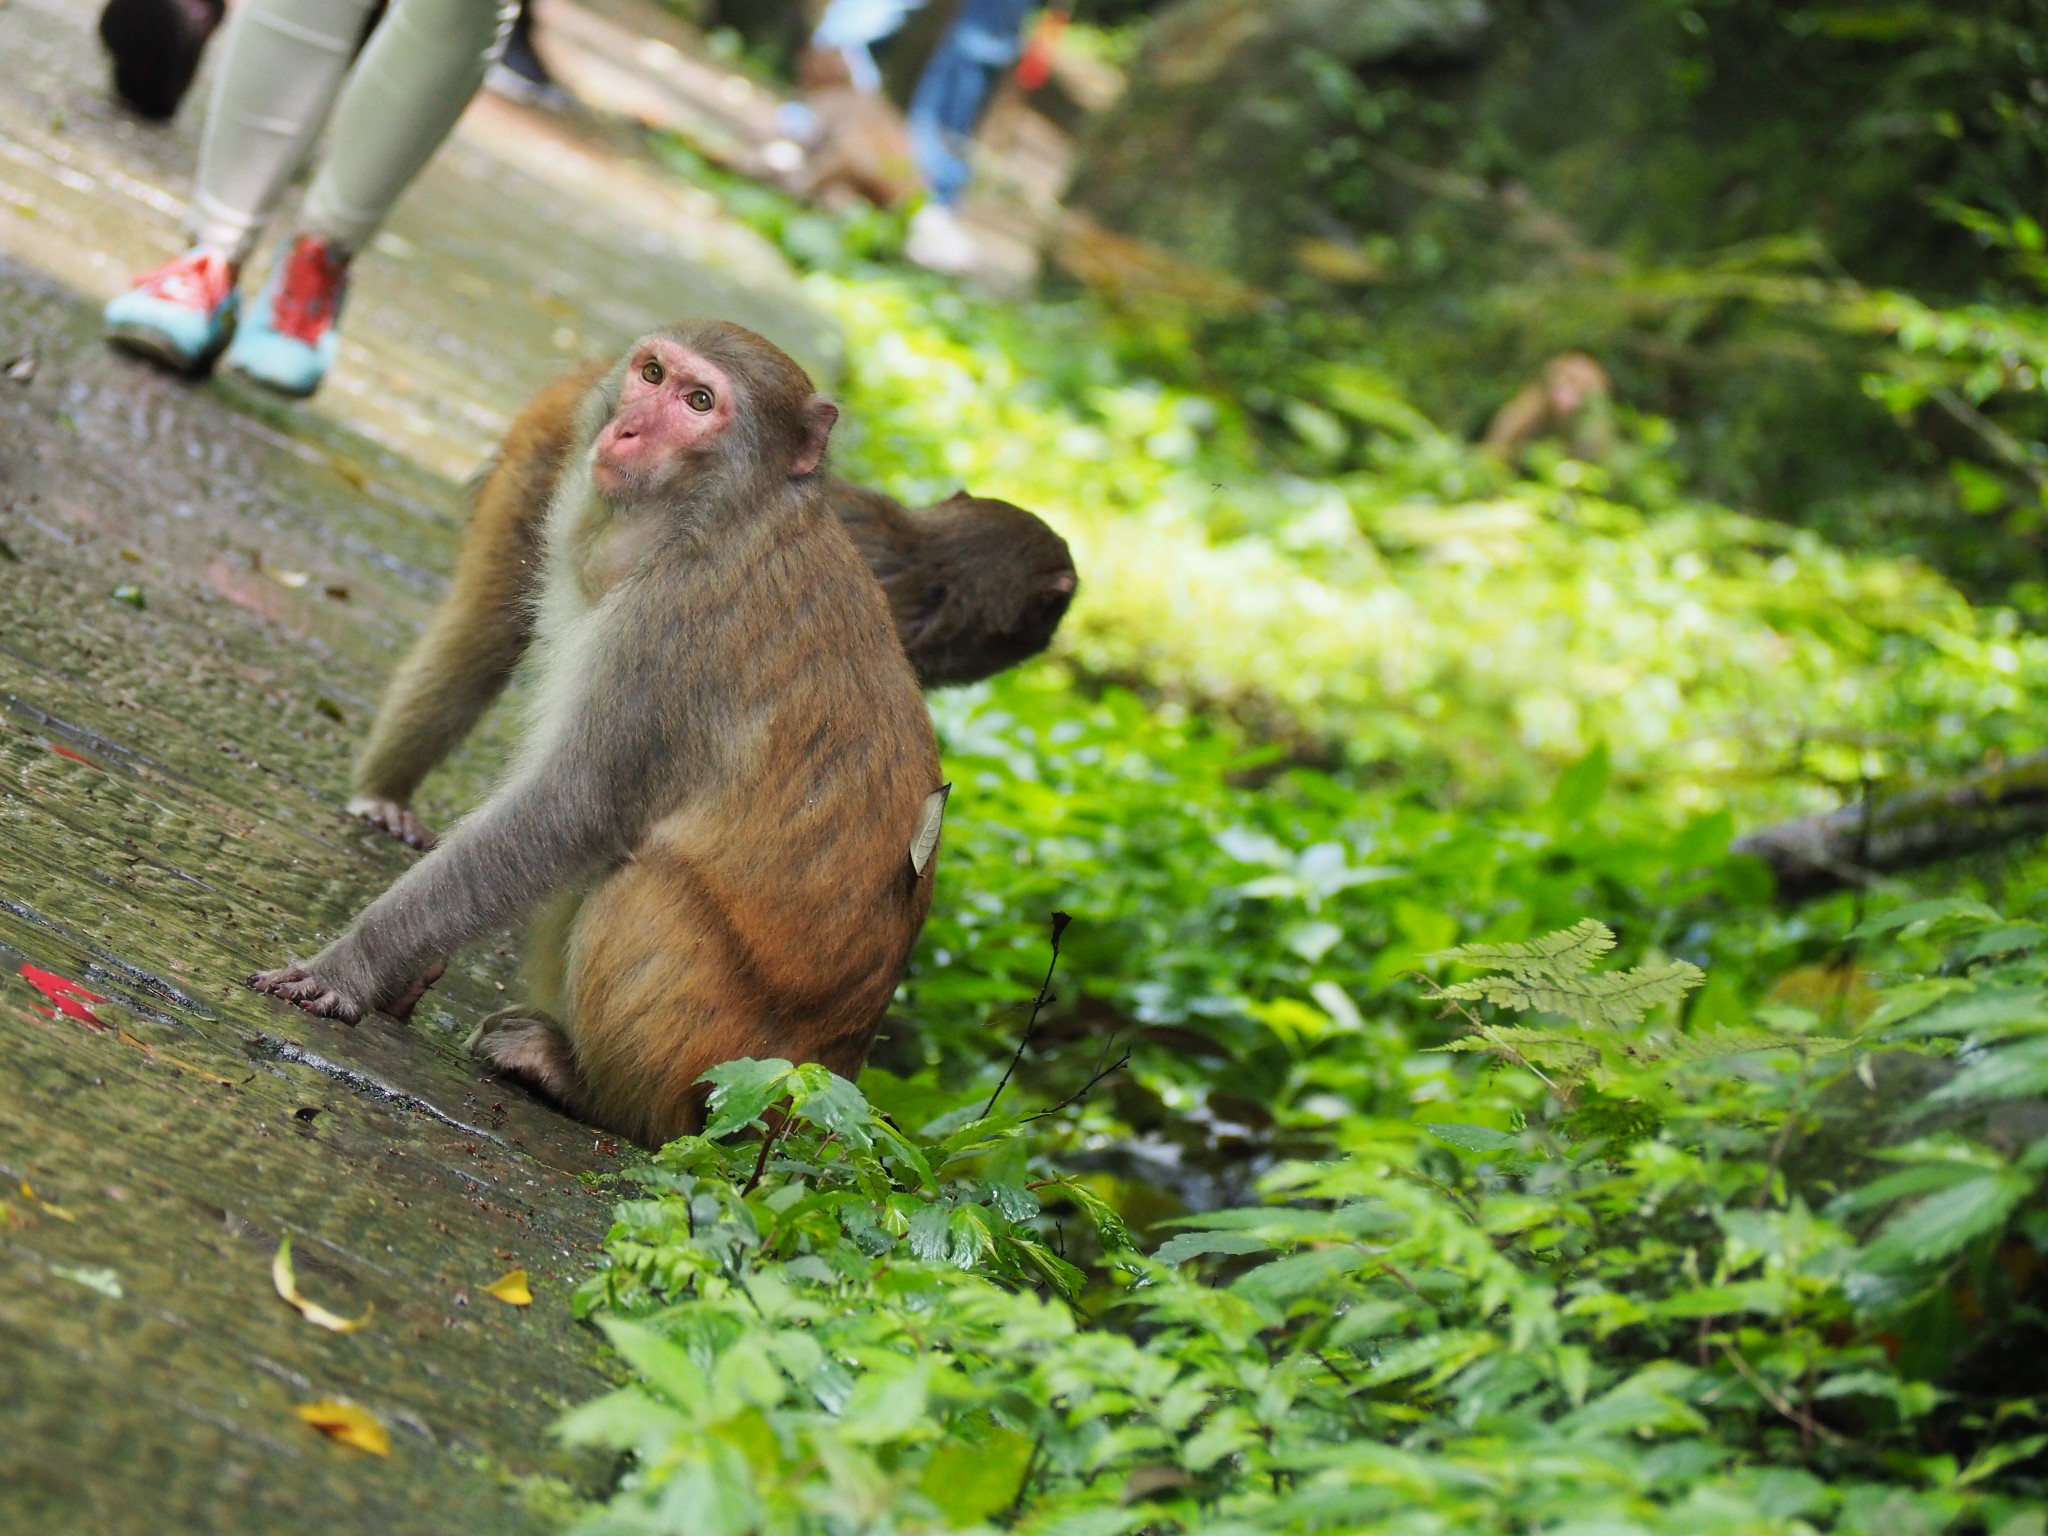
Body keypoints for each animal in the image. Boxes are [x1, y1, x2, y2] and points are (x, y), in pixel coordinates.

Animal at [249, 321, 942, 1146]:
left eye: (699, 402)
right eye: (652, 374)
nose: (627, 428)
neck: (716, 515)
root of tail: (819, 1104)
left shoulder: (674, 628)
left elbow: (571, 808)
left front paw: (349, 969)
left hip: (721, 1070)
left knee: (641, 878)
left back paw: (591, 1092)